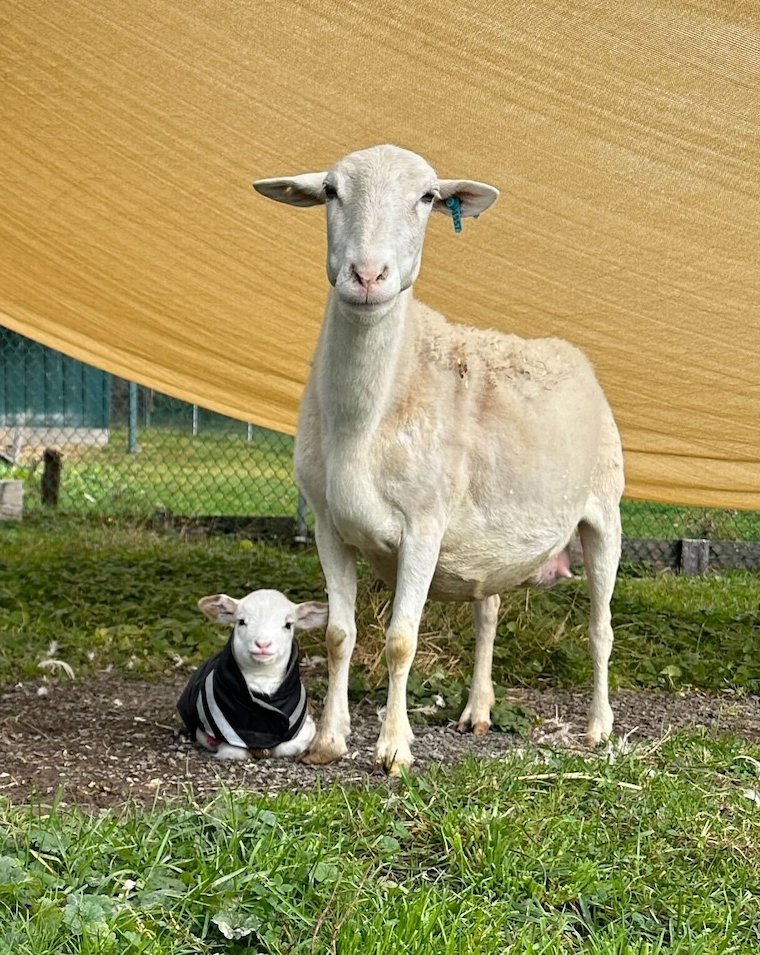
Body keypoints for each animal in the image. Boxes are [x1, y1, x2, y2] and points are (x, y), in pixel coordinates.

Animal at [177, 589, 328, 760]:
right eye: (241, 621)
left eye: (288, 625)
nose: (263, 644)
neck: (262, 678)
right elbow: (232, 749)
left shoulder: (304, 725)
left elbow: (289, 745)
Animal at [254, 145, 624, 774]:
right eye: (329, 191)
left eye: (427, 197)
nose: (368, 276)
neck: (366, 420)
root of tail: (570, 353)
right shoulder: (329, 523)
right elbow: (339, 636)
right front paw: (328, 740)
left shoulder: (424, 524)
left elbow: (401, 639)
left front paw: (393, 749)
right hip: (490, 541)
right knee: (488, 614)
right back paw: (478, 711)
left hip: (605, 511)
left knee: (601, 629)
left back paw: (598, 727)